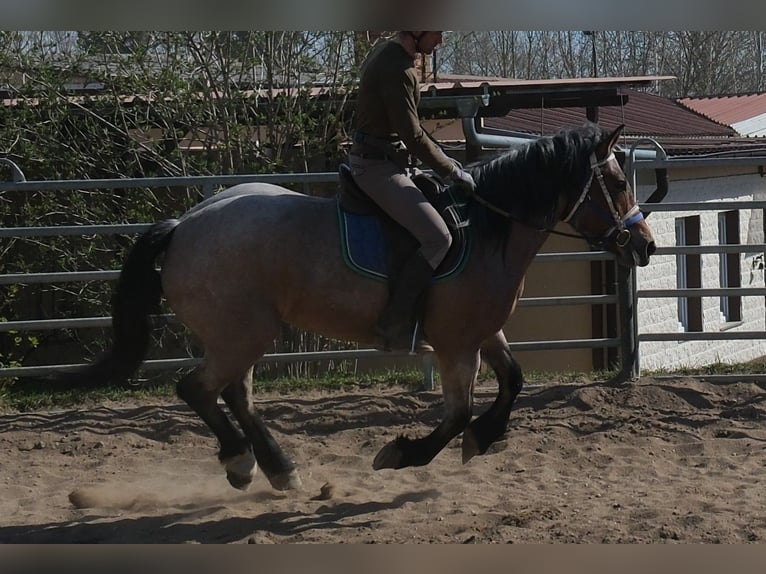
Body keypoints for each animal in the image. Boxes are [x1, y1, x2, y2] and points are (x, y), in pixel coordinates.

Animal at [65, 122, 655, 492]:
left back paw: (276, 468)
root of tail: (183, 226)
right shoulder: (456, 345)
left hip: (241, 335)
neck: (488, 227)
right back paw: (242, 462)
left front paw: (483, 439)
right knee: (198, 389)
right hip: (242, 334)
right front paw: (406, 453)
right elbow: (458, 411)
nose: (645, 245)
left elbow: (514, 381)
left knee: (232, 393)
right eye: (617, 181)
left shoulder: (484, 333)